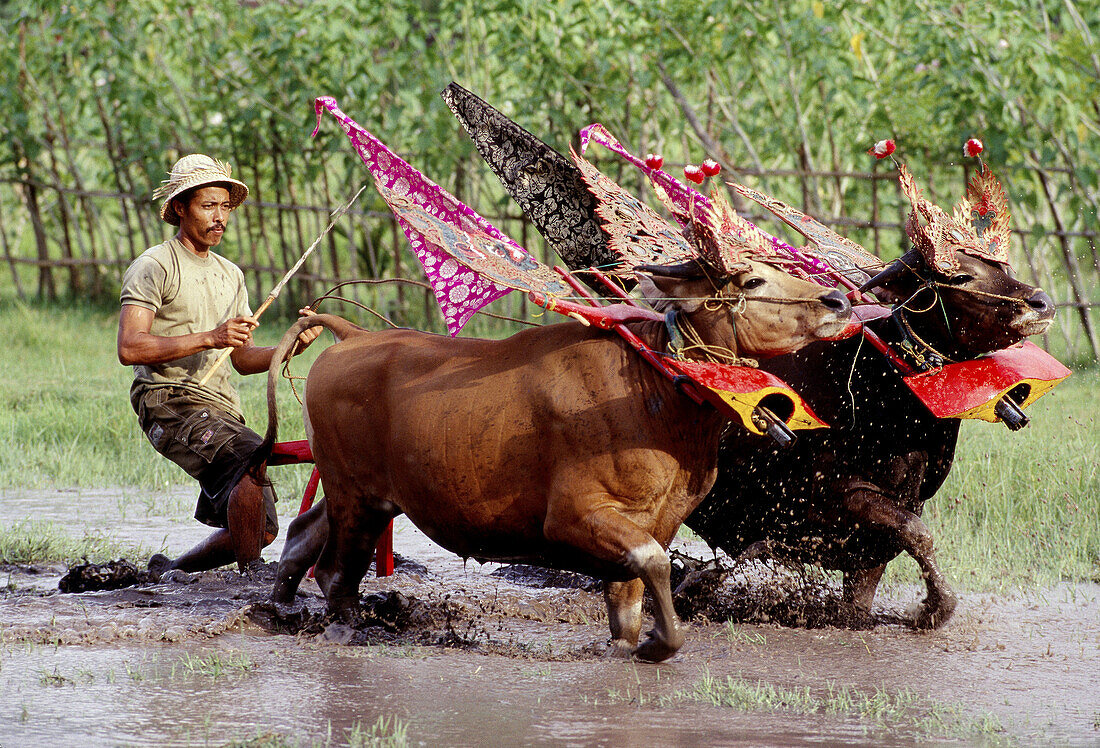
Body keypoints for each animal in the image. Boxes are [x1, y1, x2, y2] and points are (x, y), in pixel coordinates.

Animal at [264, 262, 849, 660]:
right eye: (751, 281)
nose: (837, 299)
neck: (655, 389)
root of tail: (353, 337)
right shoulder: (574, 516)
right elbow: (656, 565)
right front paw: (661, 643)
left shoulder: (656, 520)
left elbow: (631, 595)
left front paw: (634, 643)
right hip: (356, 496)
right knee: (336, 569)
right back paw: (342, 625)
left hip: (363, 494)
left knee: (303, 531)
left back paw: (280, 603)